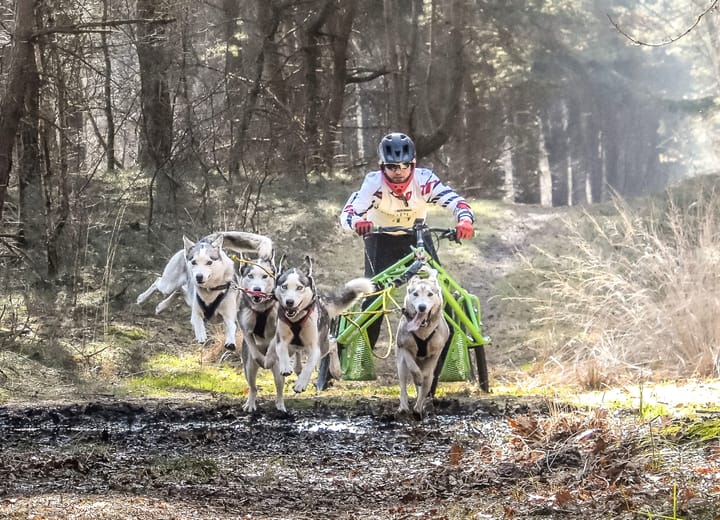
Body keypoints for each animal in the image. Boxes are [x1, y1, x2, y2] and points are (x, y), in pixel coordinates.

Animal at [136, 232, 272, 350]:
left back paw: (162, 306)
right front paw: (201, 337)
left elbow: (231, 327)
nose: (199, 277)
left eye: (209, 262)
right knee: (158, 282)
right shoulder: (196, 312)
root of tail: (202, 241)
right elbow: (198, 323)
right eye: (194, 262)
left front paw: (230, 342)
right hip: (168, 284)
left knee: (180, 290)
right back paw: (142, 298)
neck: (210, 290)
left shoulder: (229, 314)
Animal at [235, 255, 282, 410]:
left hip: (280, 371)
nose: (257, 289)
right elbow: (254, 349)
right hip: (248, 368)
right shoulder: (245, 327)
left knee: (279, 388)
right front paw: (262, 359)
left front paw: (268, 359)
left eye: (265, 276)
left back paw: (281, 406)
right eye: (250, 276)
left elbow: (273, 344)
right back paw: (250, 404)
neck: (261, 309)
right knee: (253, 387)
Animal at [268, 256, 372, 394]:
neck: (297, 319)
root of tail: (322, 301)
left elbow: (308, 366)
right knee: (296, 352)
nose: (289, 302)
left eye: (299, 287)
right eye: (284, 286)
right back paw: (293, 365)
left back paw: (335, 370)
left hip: (323, 344)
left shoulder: (315, 347)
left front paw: (300, 384)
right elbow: (282, 351)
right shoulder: (282, 339)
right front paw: (285, 367)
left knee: (332, 342)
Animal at [396, 268, 448, 414]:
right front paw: (417, 376)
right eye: (415, 294)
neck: (422, 331)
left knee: (425, 385)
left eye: (430, 294)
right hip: (401, 366)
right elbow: (413, 367)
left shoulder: (436, 353)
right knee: (403, 384)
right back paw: (404, 406)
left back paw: (419, 408)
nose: (422, 307)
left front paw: (422, 379)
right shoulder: (403, 347)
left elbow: (426, 376)